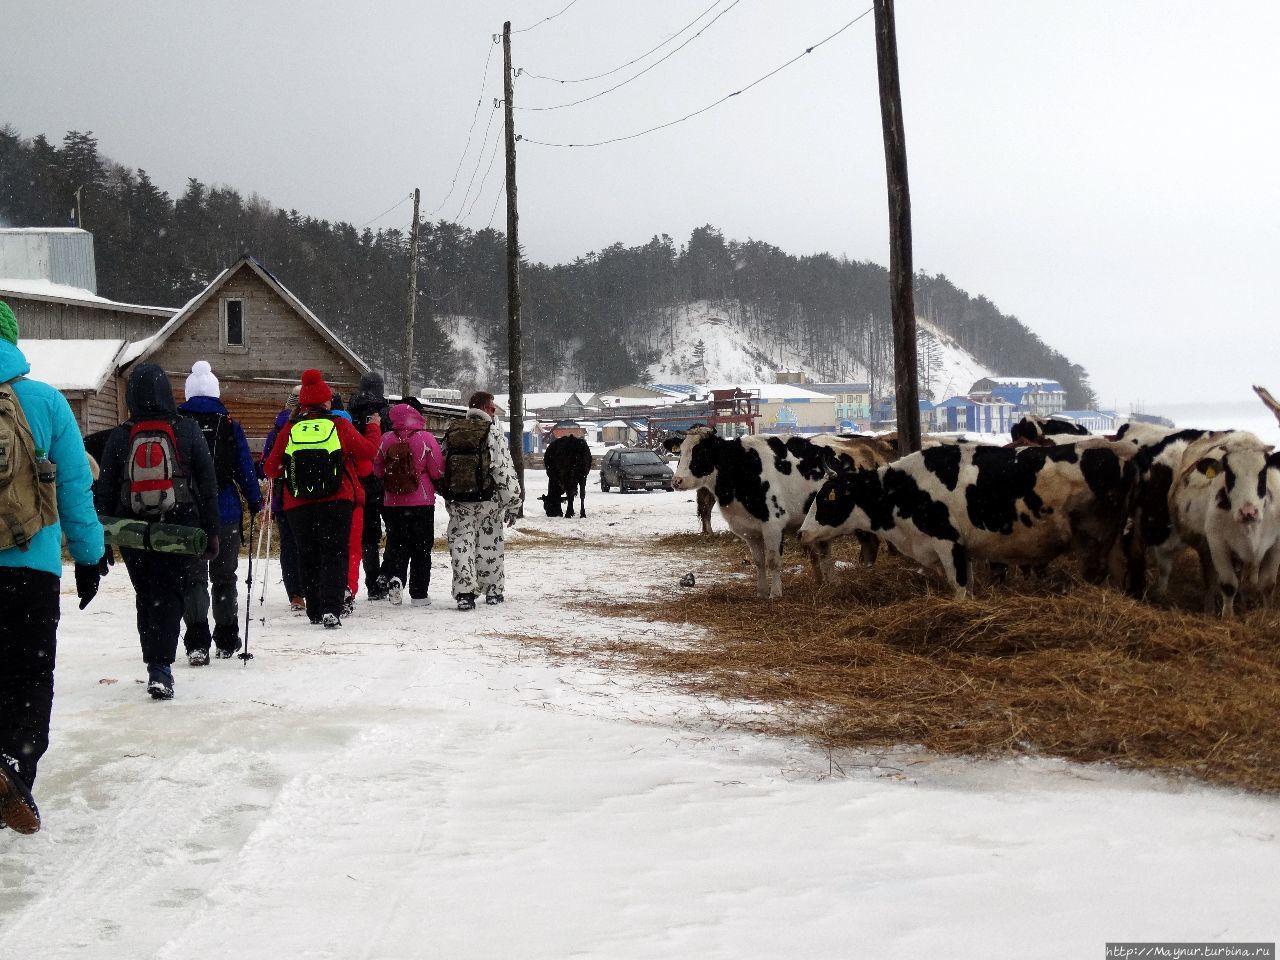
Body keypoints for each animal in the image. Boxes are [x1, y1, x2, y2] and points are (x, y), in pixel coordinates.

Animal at [670, 430, 890, 599]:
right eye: (681, 451)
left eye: (701, 452)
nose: (677, 481)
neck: (744, 467)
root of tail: (872, 446)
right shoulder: (749, 530)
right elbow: (759, 562)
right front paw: (761, 592)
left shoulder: (773, 524)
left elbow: (773, 560)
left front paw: (775, 593)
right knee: (844, 549)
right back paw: (839, 580)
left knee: (872, 544)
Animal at [793, 442, 1136, 593]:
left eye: (827, 498)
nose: (801, 533)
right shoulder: (963, 550)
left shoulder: (948, 543)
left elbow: (958, 588)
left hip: (1096, 540)